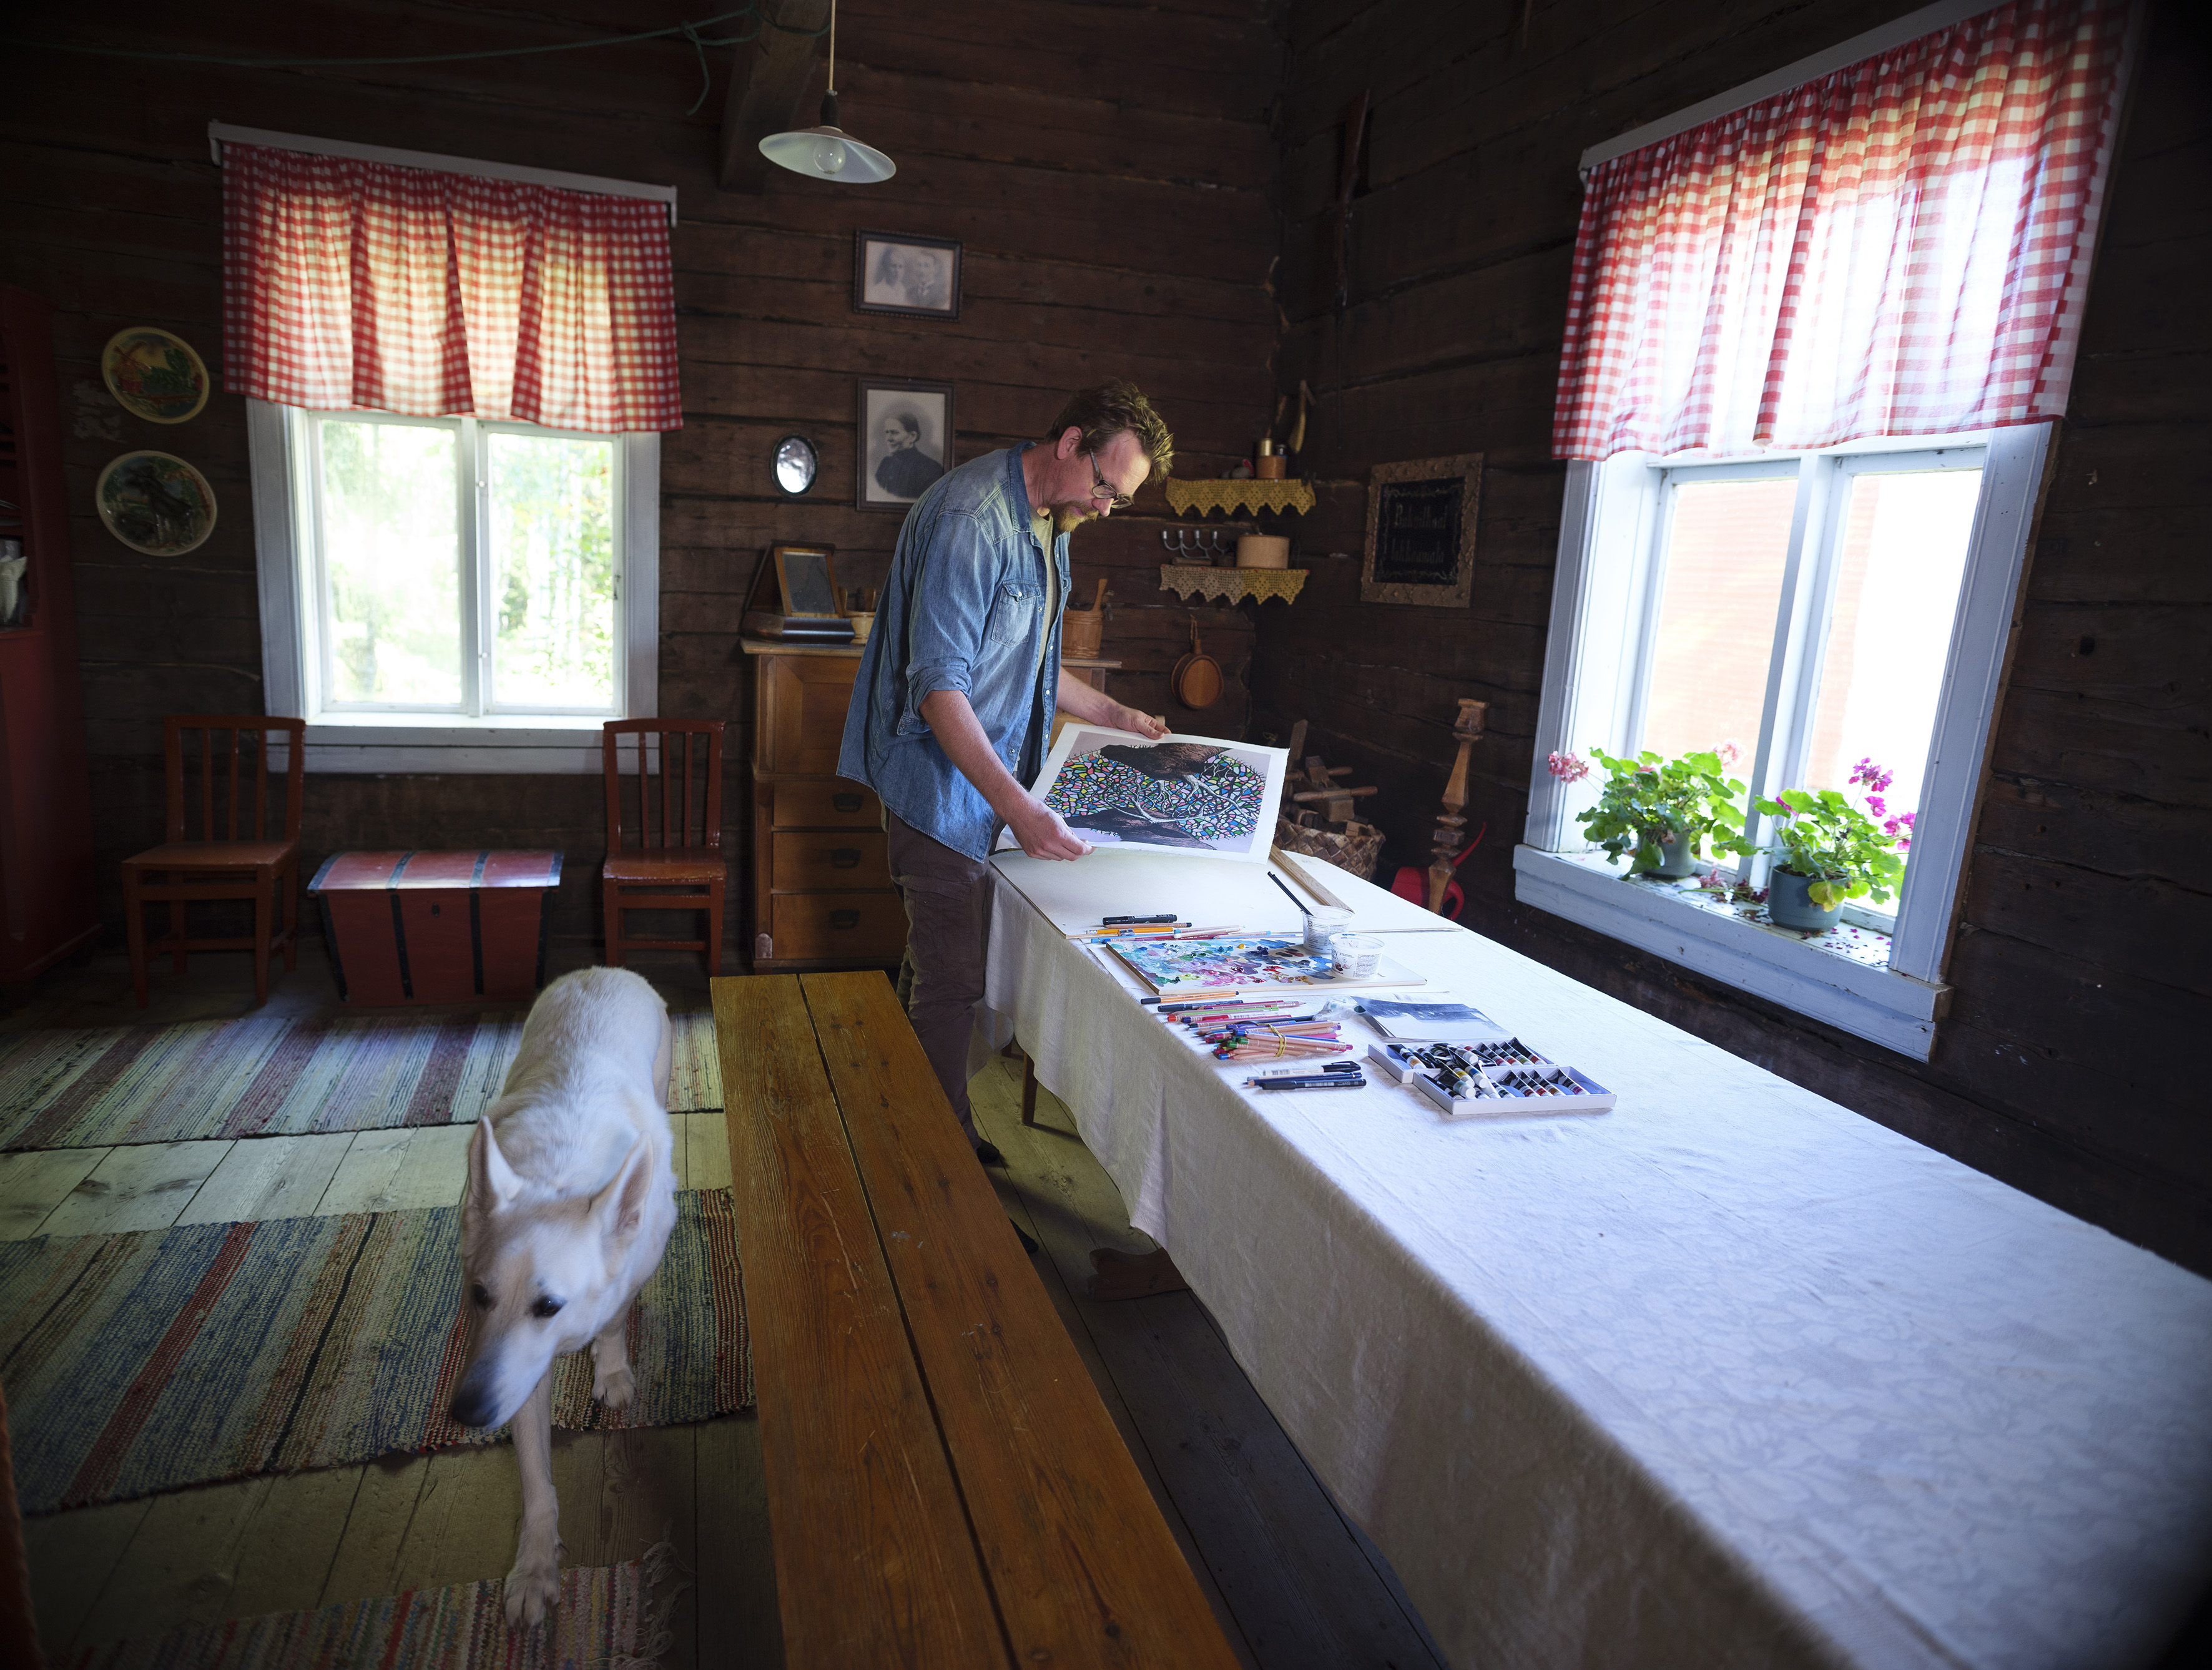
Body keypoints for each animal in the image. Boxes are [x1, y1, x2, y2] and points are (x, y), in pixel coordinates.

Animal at [445, 965, 679, 1628]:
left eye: (548, 1306)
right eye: (479, 1295)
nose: (467, 1412)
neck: (561, 1176)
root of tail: (605, 969)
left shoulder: (634, 1263)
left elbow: (615, 1317)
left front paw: (612, 1367)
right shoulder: (514, 1371)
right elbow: (535, 1479)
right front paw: (535, 1567)